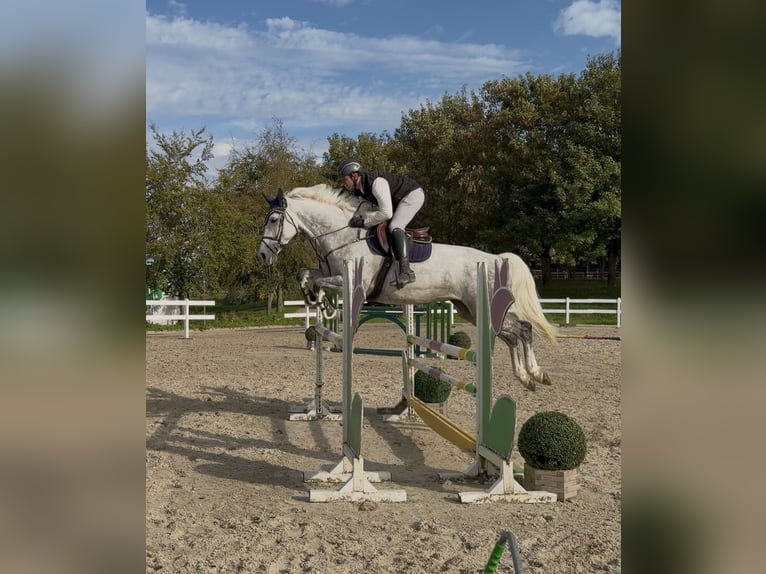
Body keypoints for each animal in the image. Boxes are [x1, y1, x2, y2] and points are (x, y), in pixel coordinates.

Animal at [257, 184, 557, 389]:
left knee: (523, 329)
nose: (262, 255)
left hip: (480, 308)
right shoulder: (329, 272)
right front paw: (316, 299)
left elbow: (319, 281)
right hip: (469, 310)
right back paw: (527, 377)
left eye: (274, 220)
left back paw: (535, 373)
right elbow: (305, 273)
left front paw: (326, 305)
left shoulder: (351, 282)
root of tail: (495, 259)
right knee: (513, 334)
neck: (342, 236)